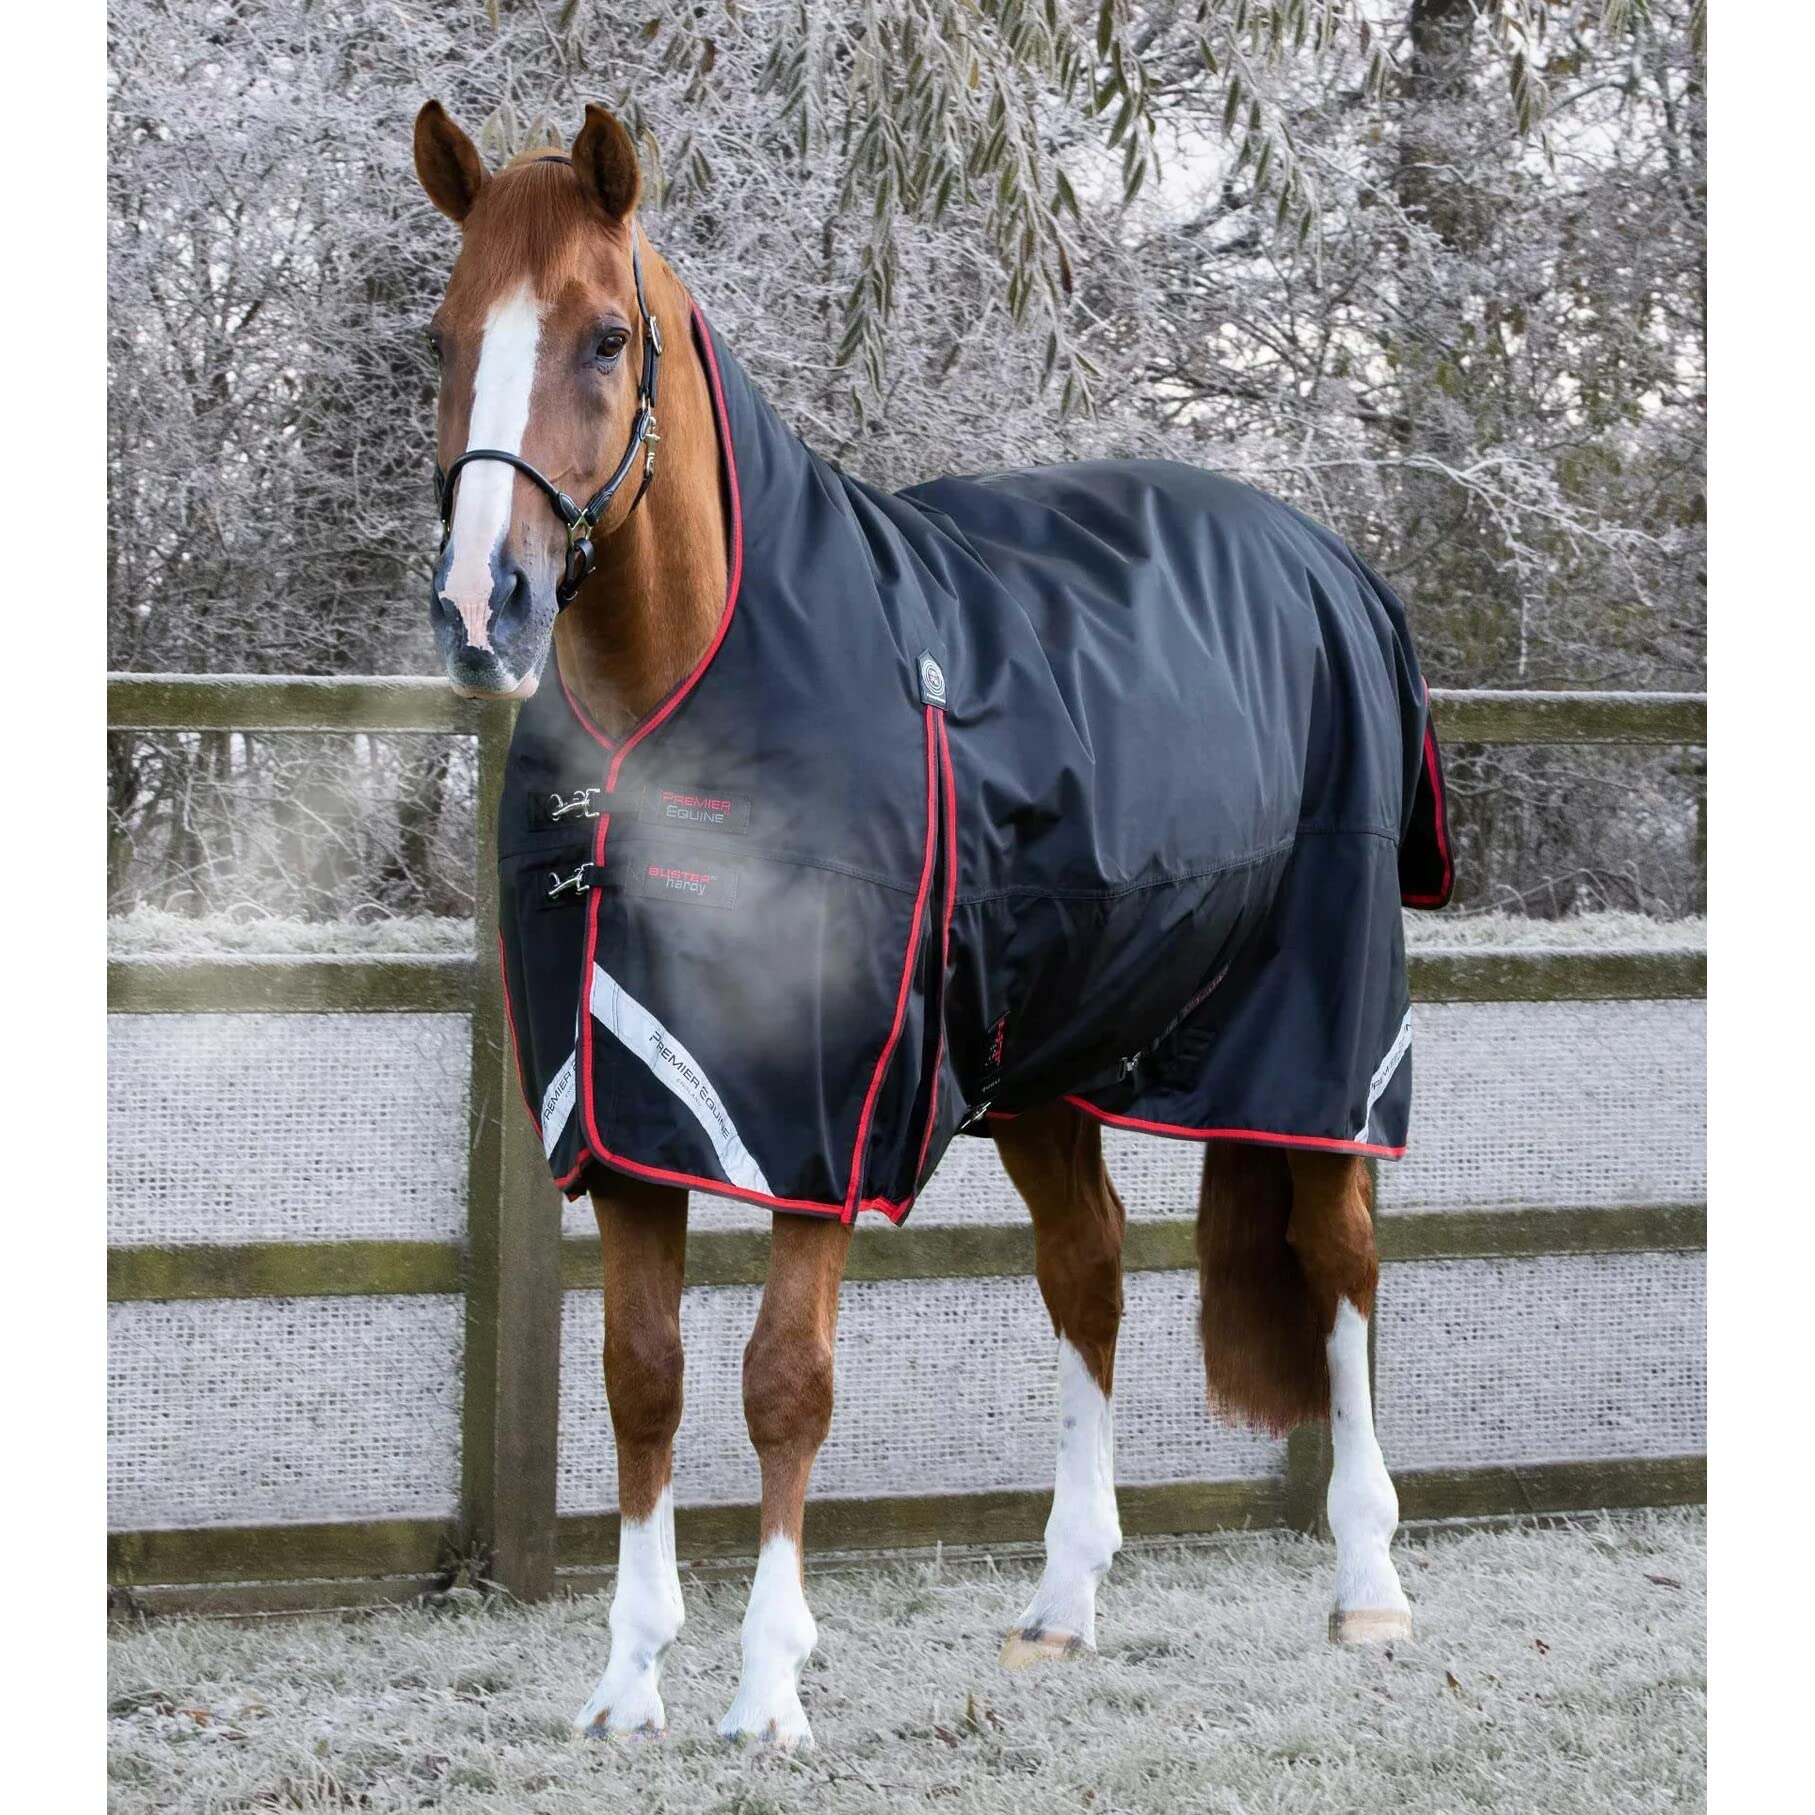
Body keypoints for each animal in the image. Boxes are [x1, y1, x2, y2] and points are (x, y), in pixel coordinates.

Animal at [413, 99, 1439, 1749]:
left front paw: (766, 1685)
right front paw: (627, 1678)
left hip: (1318, 1050)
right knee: (1087, 1271)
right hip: (1045, 1067)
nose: (479, 606)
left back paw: (1367, 1585)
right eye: (446, 335)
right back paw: (1060, 1604)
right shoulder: (627, 1118)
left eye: (603, 338)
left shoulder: (825, 1127)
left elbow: (782, 1380)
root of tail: (1324, 558)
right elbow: (643, 1377)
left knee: (1340, 1266)